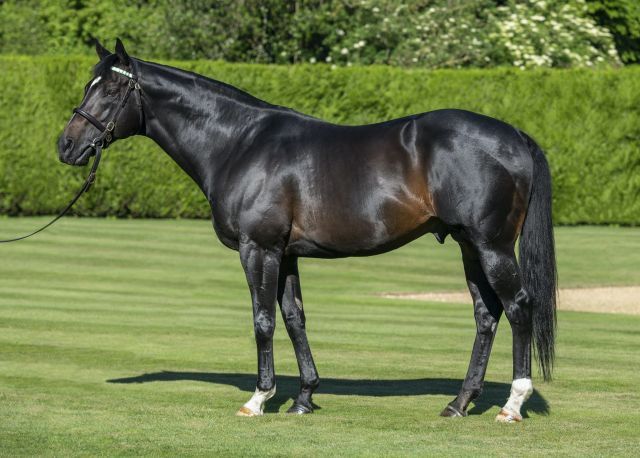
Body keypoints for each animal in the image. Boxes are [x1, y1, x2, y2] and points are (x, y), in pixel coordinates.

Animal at [58, 41, 556, 424]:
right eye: (88, 85)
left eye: (113, 88)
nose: (66, 145)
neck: (239, 143)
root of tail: (514, 134)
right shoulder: (287, 253)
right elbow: (294, 317)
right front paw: (303, 398)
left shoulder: (258, 249)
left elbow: (262, 320)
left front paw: (258, 399)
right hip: (469, 247)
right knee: (486, 316)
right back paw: (458, 403)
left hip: (492, 246)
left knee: (518, 307)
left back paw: (512, 405)